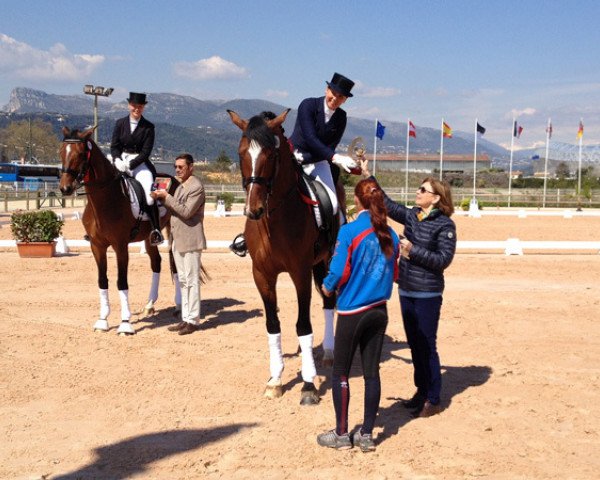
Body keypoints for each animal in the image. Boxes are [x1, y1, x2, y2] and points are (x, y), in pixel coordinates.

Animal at [59, 125, 176, 336]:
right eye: (61, 151)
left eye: (81, 154)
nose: (65, 188)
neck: (106, 199)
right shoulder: (97, 246)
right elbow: (102, 280)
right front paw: (102, 320)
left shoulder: (120, 246)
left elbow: (122, 282)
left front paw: (125, 324)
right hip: (149, 238)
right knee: (156, 262)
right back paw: (149, 305)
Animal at [229, 109, 336, 404]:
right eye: (241, 153)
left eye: (272, 155)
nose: (253, 210)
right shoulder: (262, 274)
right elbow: (272, 323)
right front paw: (275, 379)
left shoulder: (300, 272)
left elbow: (303, 325)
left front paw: (309, 384)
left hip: (326, 261)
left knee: (329, 302)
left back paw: (329, 353)